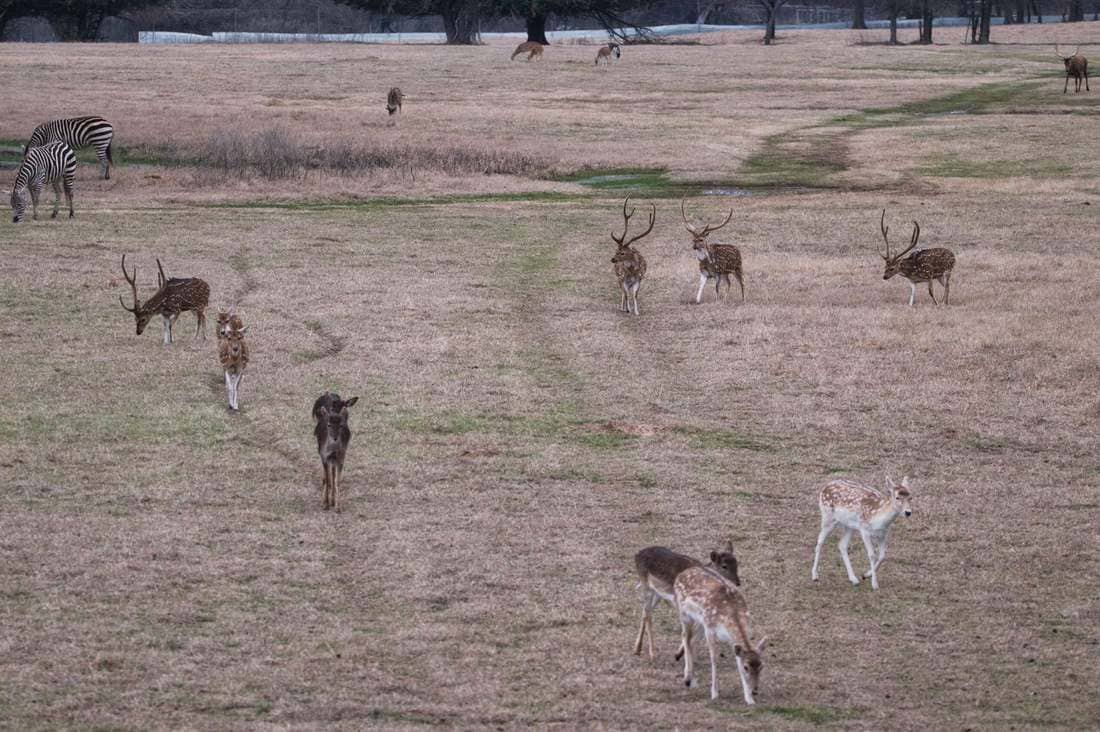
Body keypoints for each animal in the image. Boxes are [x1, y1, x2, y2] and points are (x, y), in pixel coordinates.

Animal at [674, 566, 767, 703]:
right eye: (746, 667)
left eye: (761, 666)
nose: (755, 690)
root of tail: (681, 574)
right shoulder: (710, 629)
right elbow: (714, 659)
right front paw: (714, 693)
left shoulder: (731, 639)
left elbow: (737, 660)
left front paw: (749, 699)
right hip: (684, 613)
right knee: (685, 636)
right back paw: (688, 678)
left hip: (700, 620)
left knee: (692, 640)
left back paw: (692, 679)